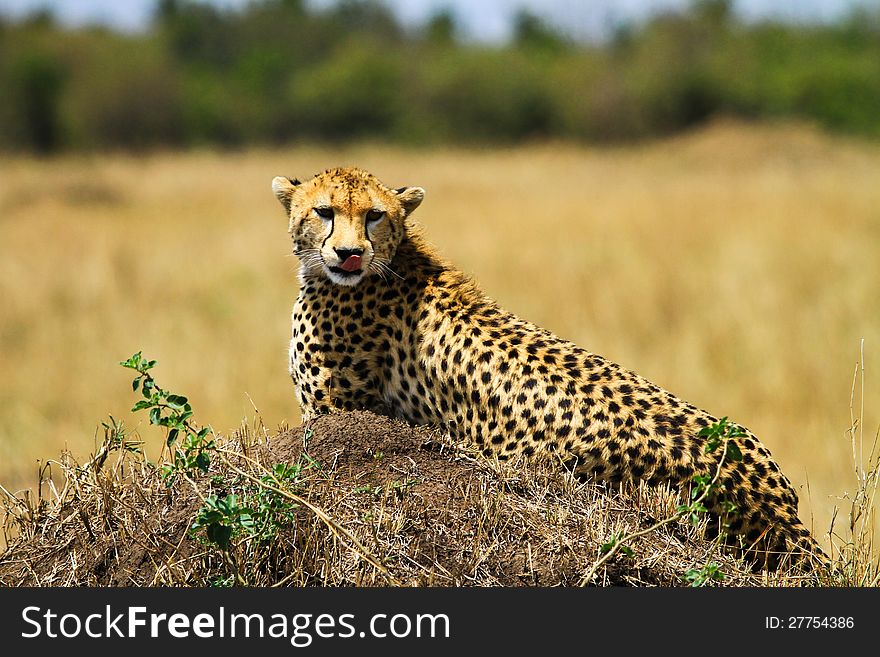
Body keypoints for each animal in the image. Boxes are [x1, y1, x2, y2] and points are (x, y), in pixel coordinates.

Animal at [274, 165, 824, 568]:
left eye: (374, 215)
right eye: (324, 212)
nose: (349, 254)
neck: (389, 261)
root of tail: (776, 498)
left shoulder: (329, 412)